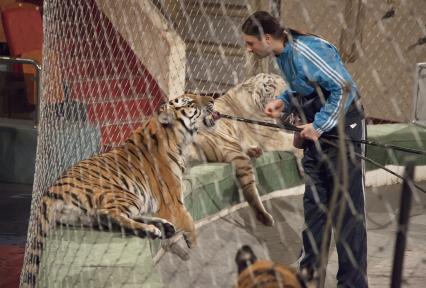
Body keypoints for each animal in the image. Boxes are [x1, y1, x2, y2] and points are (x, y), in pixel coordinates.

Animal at [21, 94, 218, 288]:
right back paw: (153, 229)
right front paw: (194, 247)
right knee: (108, 214)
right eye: (190, 102)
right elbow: (189, 222)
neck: (177, 139)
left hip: (95, 212)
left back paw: (163, 226)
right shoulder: (173, 203)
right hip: (124, 194)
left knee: (110, 219)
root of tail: (48, 194)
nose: (212, 99)